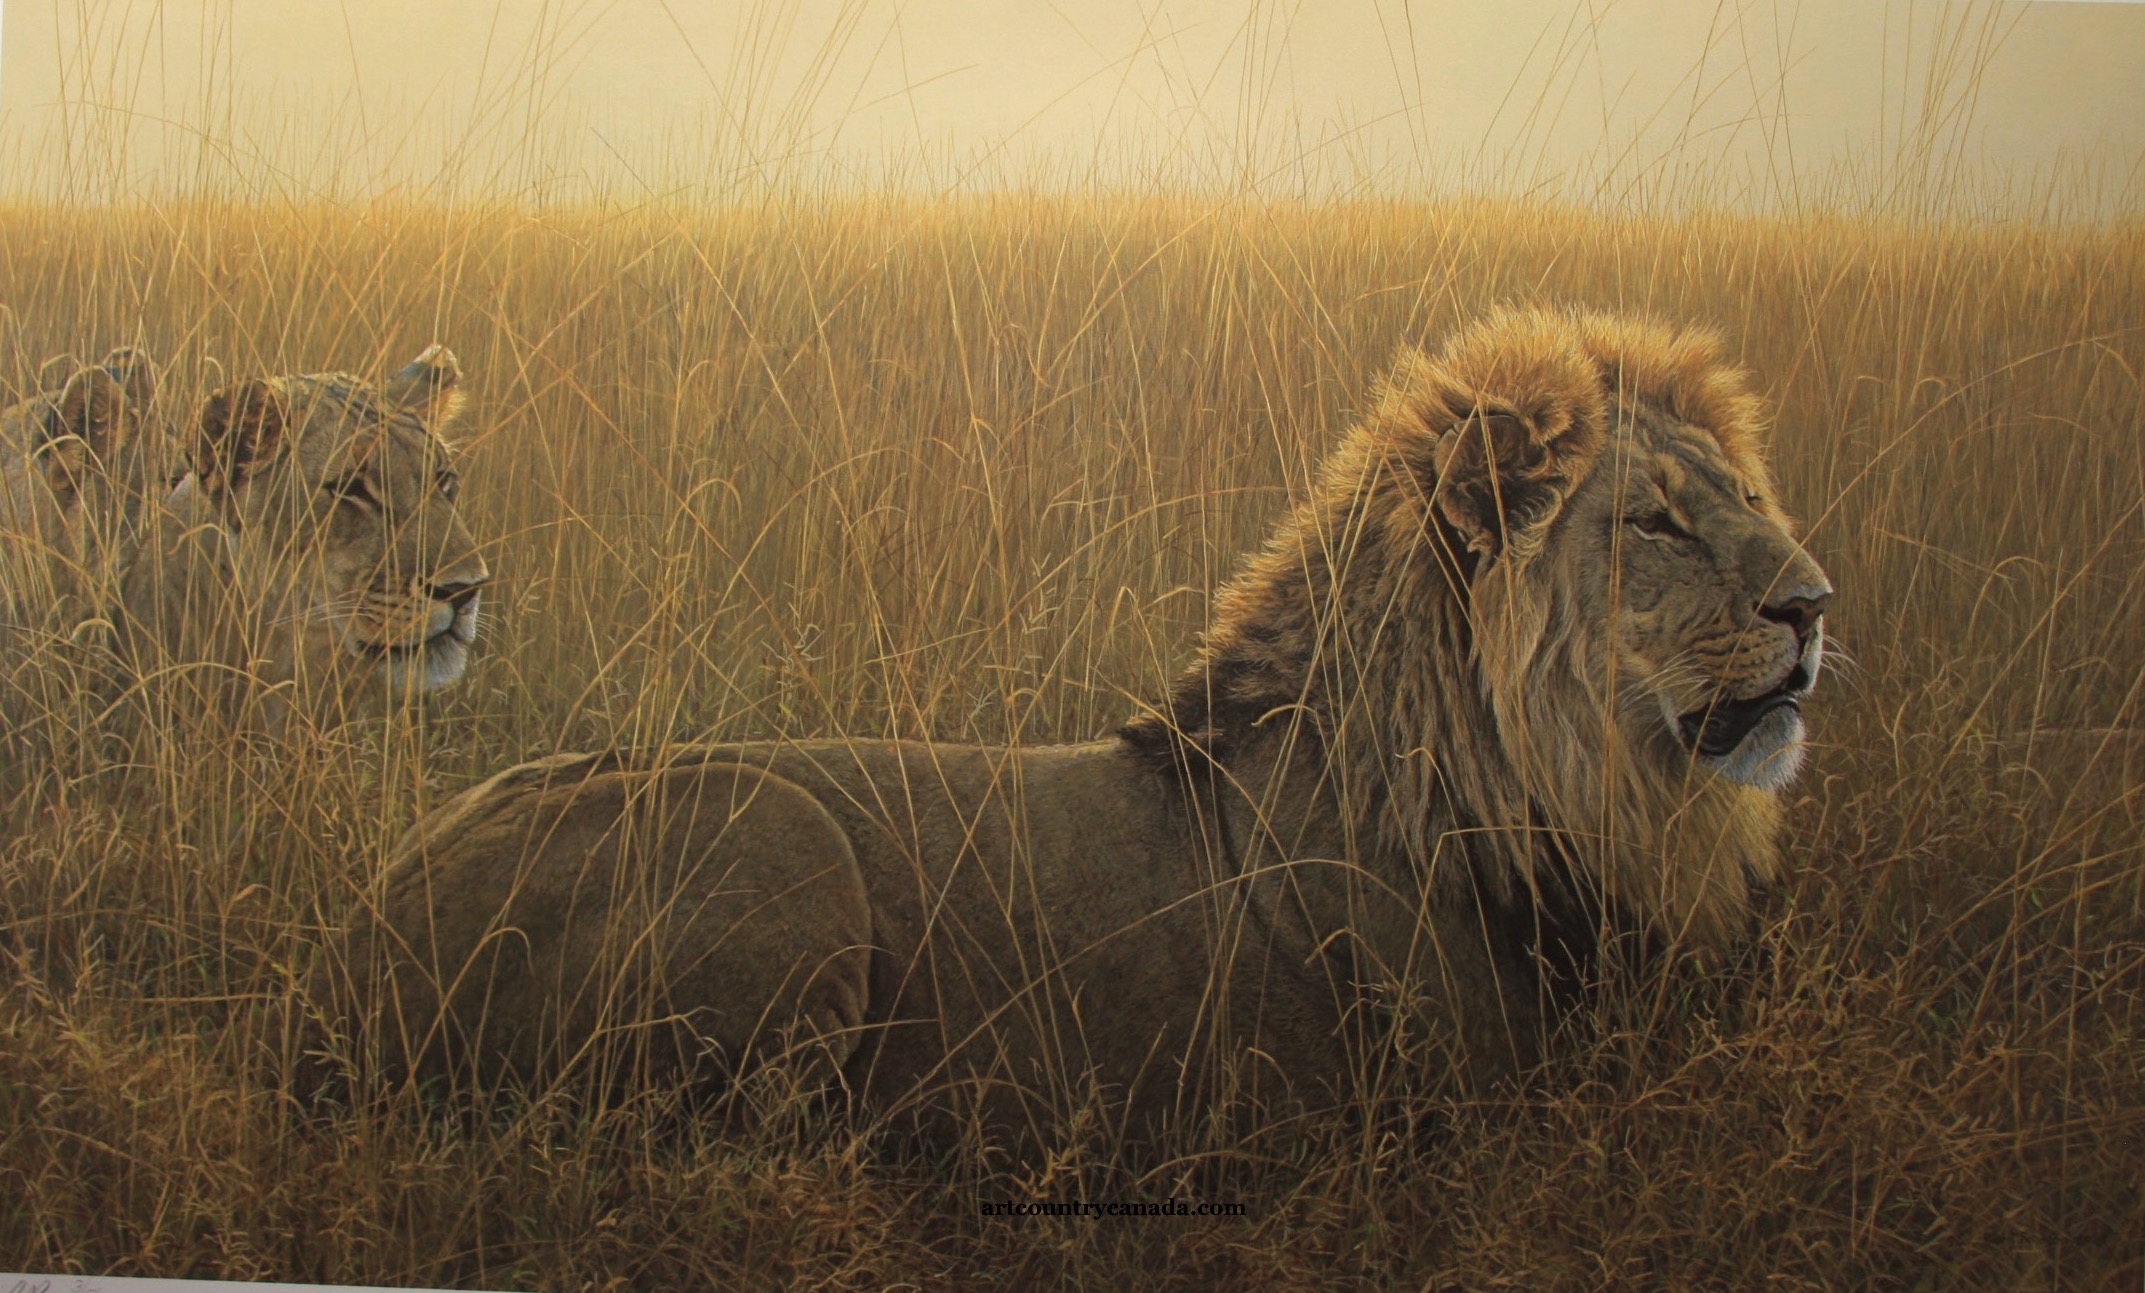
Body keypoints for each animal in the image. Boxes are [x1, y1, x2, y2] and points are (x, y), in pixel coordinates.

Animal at [321, 307, 1831, 1141]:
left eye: (1749, 495)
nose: (1816, 605)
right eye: (1655, 524)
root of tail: (361, 936)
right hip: (785, 846)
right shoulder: (1481, 1116)